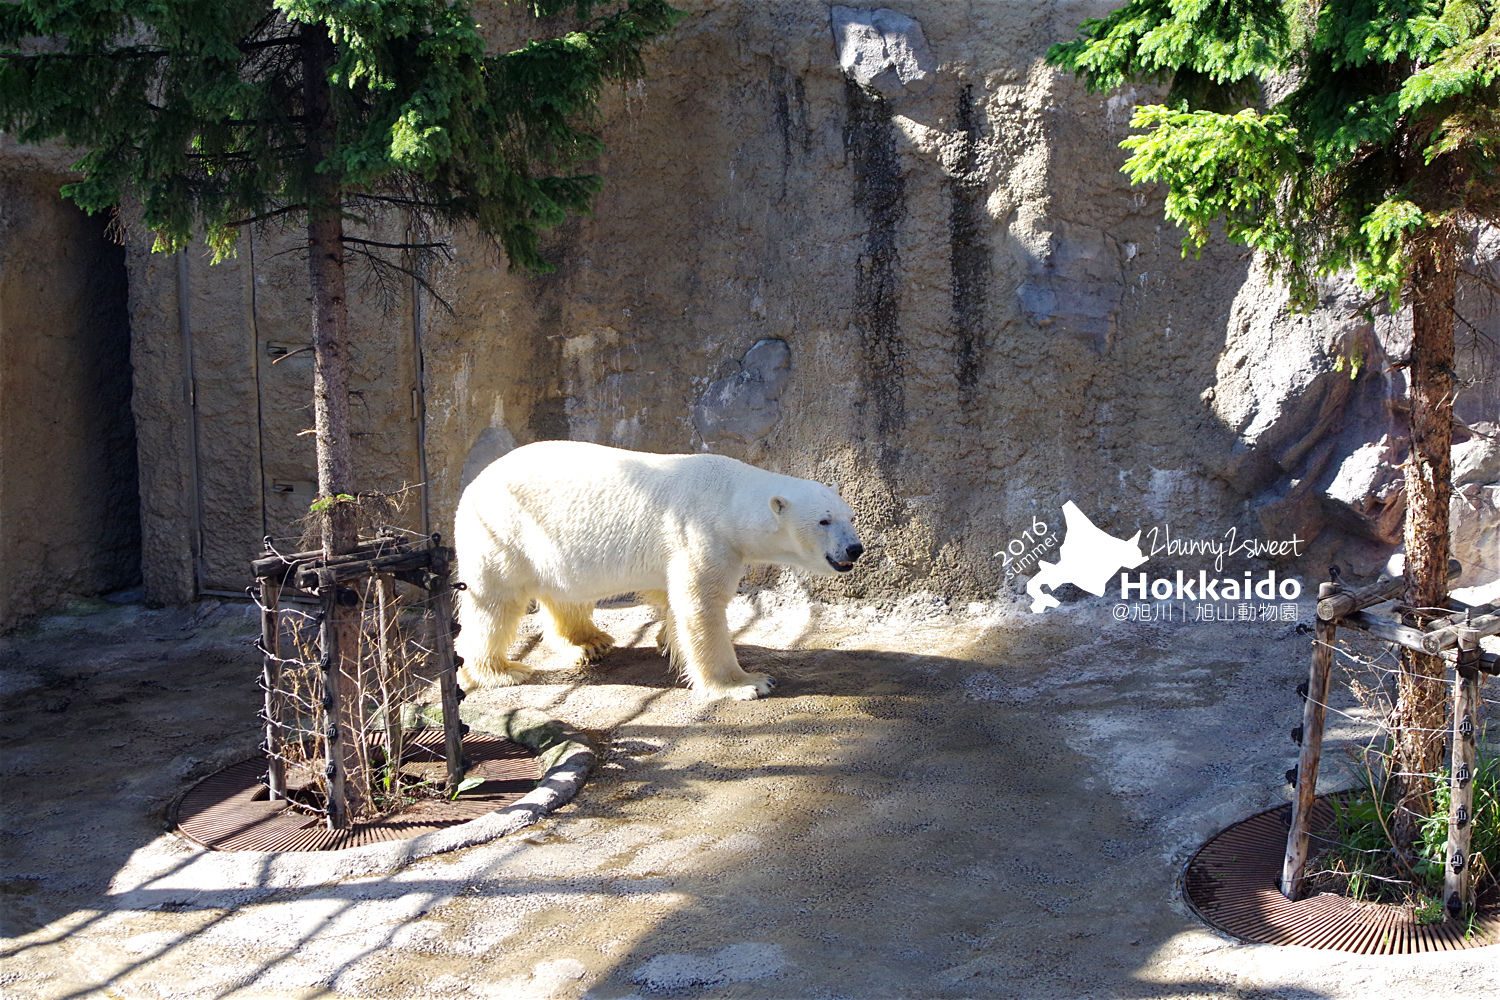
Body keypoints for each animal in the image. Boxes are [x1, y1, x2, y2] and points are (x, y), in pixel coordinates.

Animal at [453, 440, 863, 700]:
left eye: (851, 516)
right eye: (824, 521)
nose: (854, 548)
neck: (727, 496)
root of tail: (473, 484)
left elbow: (671, 599)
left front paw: (667, 639)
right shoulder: (700, 532)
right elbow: (701, 607)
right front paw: (747, 683)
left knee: (567, 594)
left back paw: (589, 642)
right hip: (504, 533)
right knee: (495, 603)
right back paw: (499, 670)